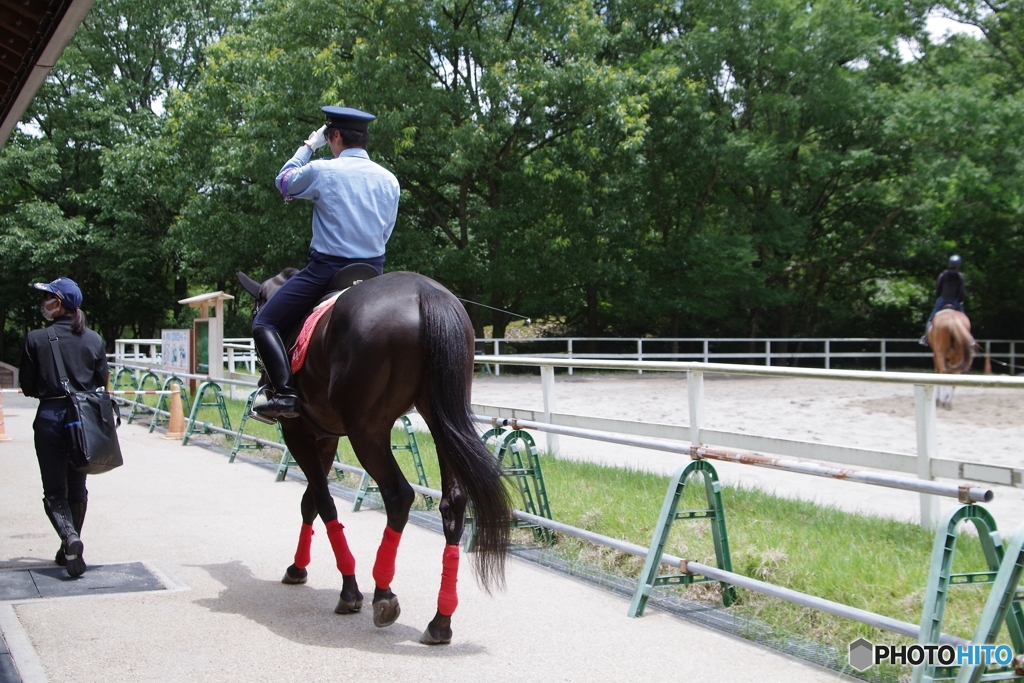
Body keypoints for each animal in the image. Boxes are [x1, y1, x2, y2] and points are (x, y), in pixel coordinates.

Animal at [238, 268, 512, 647]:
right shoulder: (324, 437)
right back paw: (440, 621)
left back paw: (382, 593)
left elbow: (323, 503)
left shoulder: (299, 433)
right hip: (440, 415)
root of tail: (424, 293)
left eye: (255, 312)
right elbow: (311, 502)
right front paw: (298, 567)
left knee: (398, 495)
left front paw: (348, 590)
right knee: (453, 502)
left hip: (367, 429)